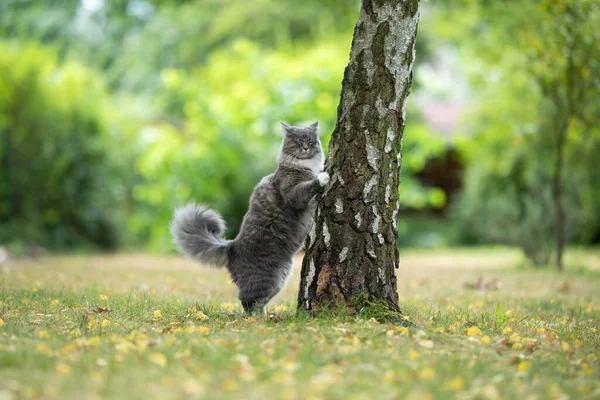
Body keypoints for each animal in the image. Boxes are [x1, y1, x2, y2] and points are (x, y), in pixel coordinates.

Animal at [169, 120, 330, 314]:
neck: (304, 166)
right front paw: (323, 178)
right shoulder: (292, 193)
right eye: (299, 141)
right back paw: (259, 318)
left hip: (280, 276)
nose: (306, 147)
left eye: (311, 141)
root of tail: (232, 246)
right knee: (247, 302)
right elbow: (309, 187)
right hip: (266, 278)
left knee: (259, 301)